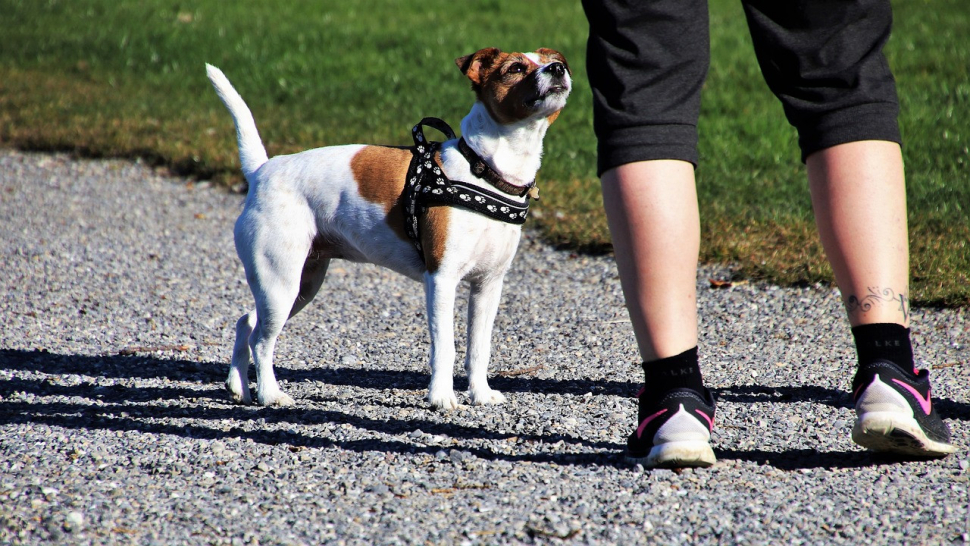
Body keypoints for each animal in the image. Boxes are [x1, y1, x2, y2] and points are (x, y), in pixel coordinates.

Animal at [204, 49, 568, 408]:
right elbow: (445, 347)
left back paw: (238, 387)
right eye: (516, 68)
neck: (484, 171)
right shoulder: (442, 280)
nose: (558, 68)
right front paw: (441, 397)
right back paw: (269, 394)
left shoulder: (487, 286)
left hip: (297, 286)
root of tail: (261, 170)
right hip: (281, 284)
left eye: (555, 59)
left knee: (247, 324)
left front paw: (479, 394)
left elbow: (479, 348)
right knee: (262, 342)